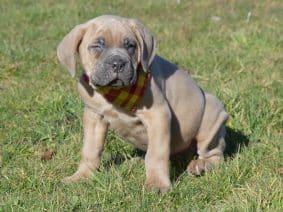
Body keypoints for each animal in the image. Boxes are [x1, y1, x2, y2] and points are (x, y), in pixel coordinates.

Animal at [57, 14, 229, 192]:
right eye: (97, 46)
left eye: (131, 46)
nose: (118, 64)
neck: (114, 93)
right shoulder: (94, 116)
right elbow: (90, 150)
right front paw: (81, 176)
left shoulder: (158, 115)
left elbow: (156, 154)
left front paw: (157, 184)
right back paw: (135, 162)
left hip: (212, 116)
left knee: (215, 154)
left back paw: (202, 164)